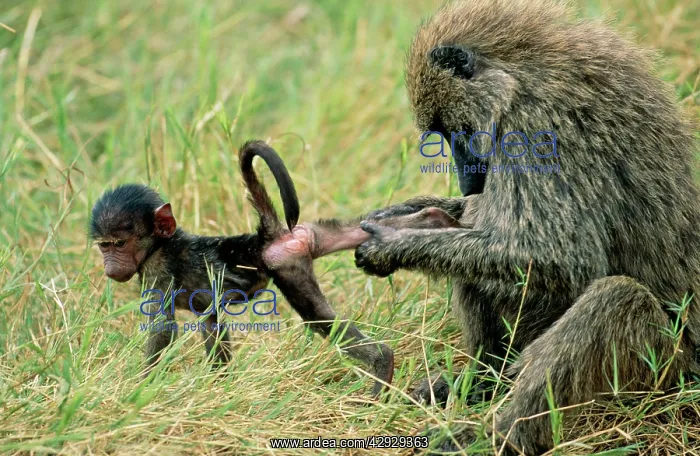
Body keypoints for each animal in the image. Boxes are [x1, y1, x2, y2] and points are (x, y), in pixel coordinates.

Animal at [89, 140, 395, 395]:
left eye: (119, 243)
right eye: (104, 246)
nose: (110, 267)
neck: (159, 245)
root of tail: (266, 237)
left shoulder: (157, 271)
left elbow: (163, 328)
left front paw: (140, 390)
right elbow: (211, 322)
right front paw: (219, 387)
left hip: (285, 264)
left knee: (317, 318)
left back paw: (382, 363)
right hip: (313, 235)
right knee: (356, 231)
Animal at [313, 0, 700, 454]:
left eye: (457, 131)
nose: (469, 183)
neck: (522, 74)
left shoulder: (536, 128)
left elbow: (561, 256)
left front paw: (392, 245)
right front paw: (411, 212)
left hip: (661, 367)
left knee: (613, 298)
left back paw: (495, 435)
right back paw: (482, 382)